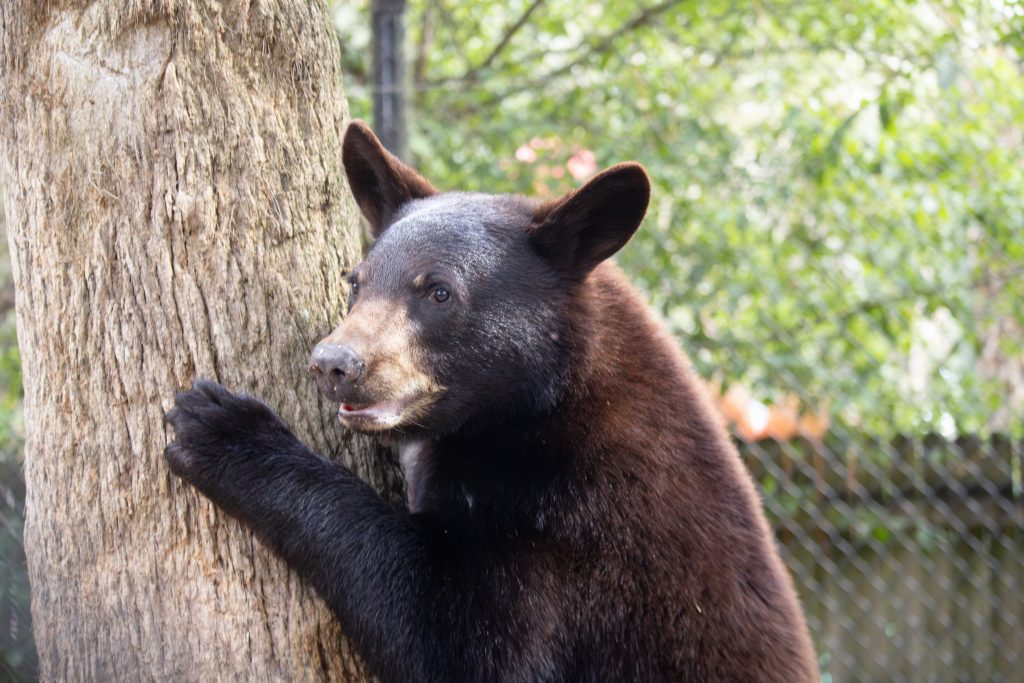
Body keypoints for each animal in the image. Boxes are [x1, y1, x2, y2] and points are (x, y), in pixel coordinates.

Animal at [165, 120, 818, 682]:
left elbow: (457, 639)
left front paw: (225, 431)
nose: (333, 364)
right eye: (356, 282)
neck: (537, 411)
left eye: (439, 291)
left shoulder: (585, 529)